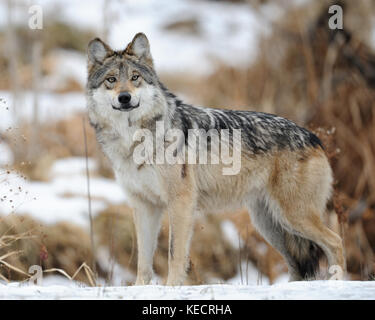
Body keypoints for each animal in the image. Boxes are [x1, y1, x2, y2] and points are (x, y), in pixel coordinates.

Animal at [86, 32, 346, 284]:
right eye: (111, 80)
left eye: (135, 77)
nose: (125, 97)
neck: (134, 140)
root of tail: (314, 137)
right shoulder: (143, 206)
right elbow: (143, 262)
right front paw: (141, 288)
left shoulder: (180, 202)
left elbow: (174, 255)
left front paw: (172, 288)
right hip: (271, 224)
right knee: (297, 266)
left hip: (293, 216)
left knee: (336, 241)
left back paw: (338, 282)